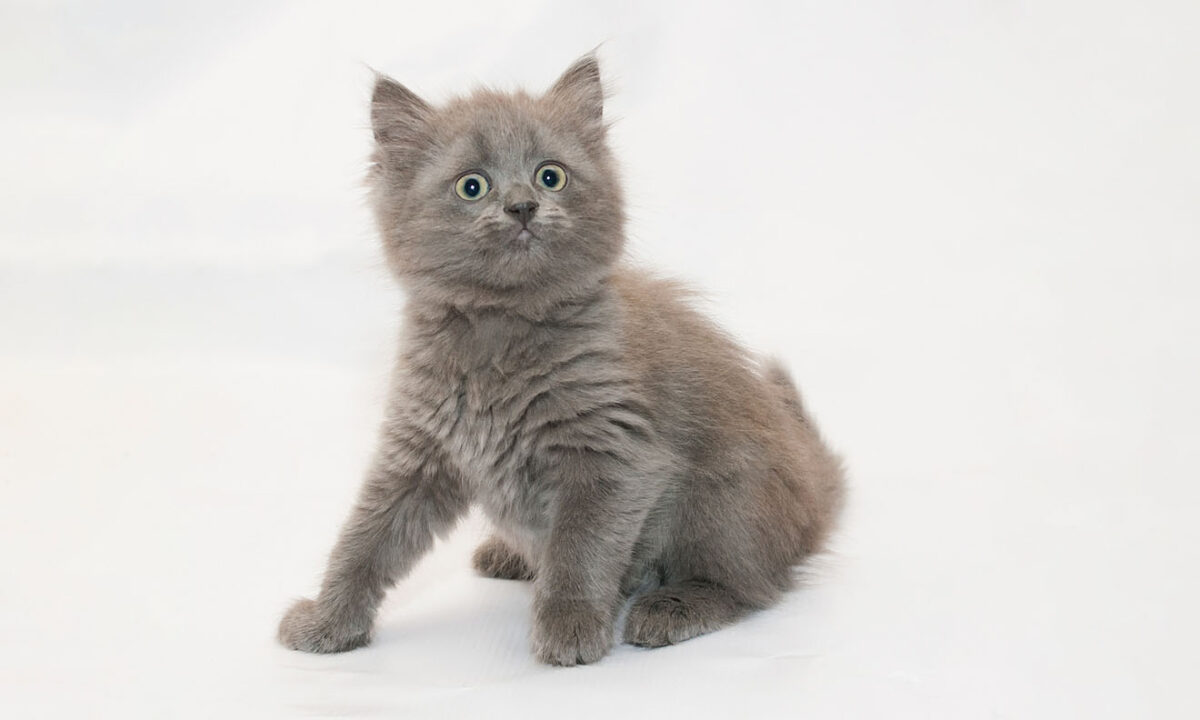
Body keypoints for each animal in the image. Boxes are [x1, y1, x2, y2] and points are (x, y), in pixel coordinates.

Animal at [278, 54, 844, 662]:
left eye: (551, 176)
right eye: (472, 186)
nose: (523, 206)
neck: (500, 331)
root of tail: (812, 505)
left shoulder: (613, 453)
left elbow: (580, 547)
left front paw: (570, 626)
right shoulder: (419, 450)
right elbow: (366, 540)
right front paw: (327, 621)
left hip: (725, 499)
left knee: (750, 585)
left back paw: (670, 607)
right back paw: (511, 555)